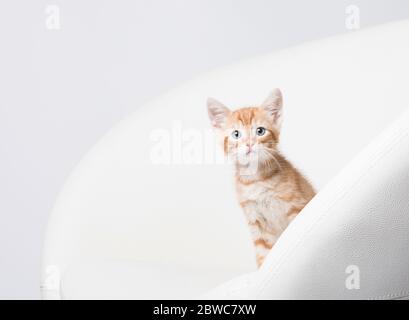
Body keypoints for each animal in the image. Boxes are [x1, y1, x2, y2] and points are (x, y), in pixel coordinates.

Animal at [207, 89, 316, 268]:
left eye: (260, 131)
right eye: (236, 134)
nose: (249, 144)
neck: (256, 180)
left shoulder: (296, 207)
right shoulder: (256, 222)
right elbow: (263, 253)